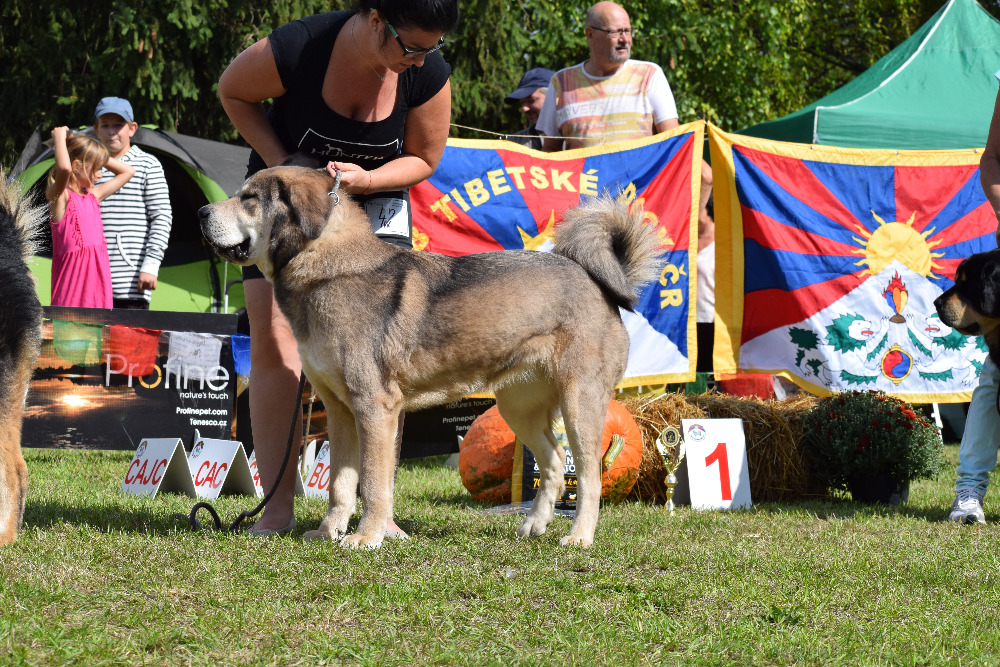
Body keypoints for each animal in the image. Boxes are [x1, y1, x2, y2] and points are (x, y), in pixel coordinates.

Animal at [200, 167, 664, 548]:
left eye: (249, 198)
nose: (202, 211)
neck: (326, 266)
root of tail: (598, 283)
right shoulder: (340, 411)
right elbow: (340, 483)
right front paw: (329, 531)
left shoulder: (374, 407)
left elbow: (373, 483)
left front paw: (366, 538)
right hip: (519, 409)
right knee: (551, 464)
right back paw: (533, 526)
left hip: (580, 406)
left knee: (589, 477)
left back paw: (579, 536)